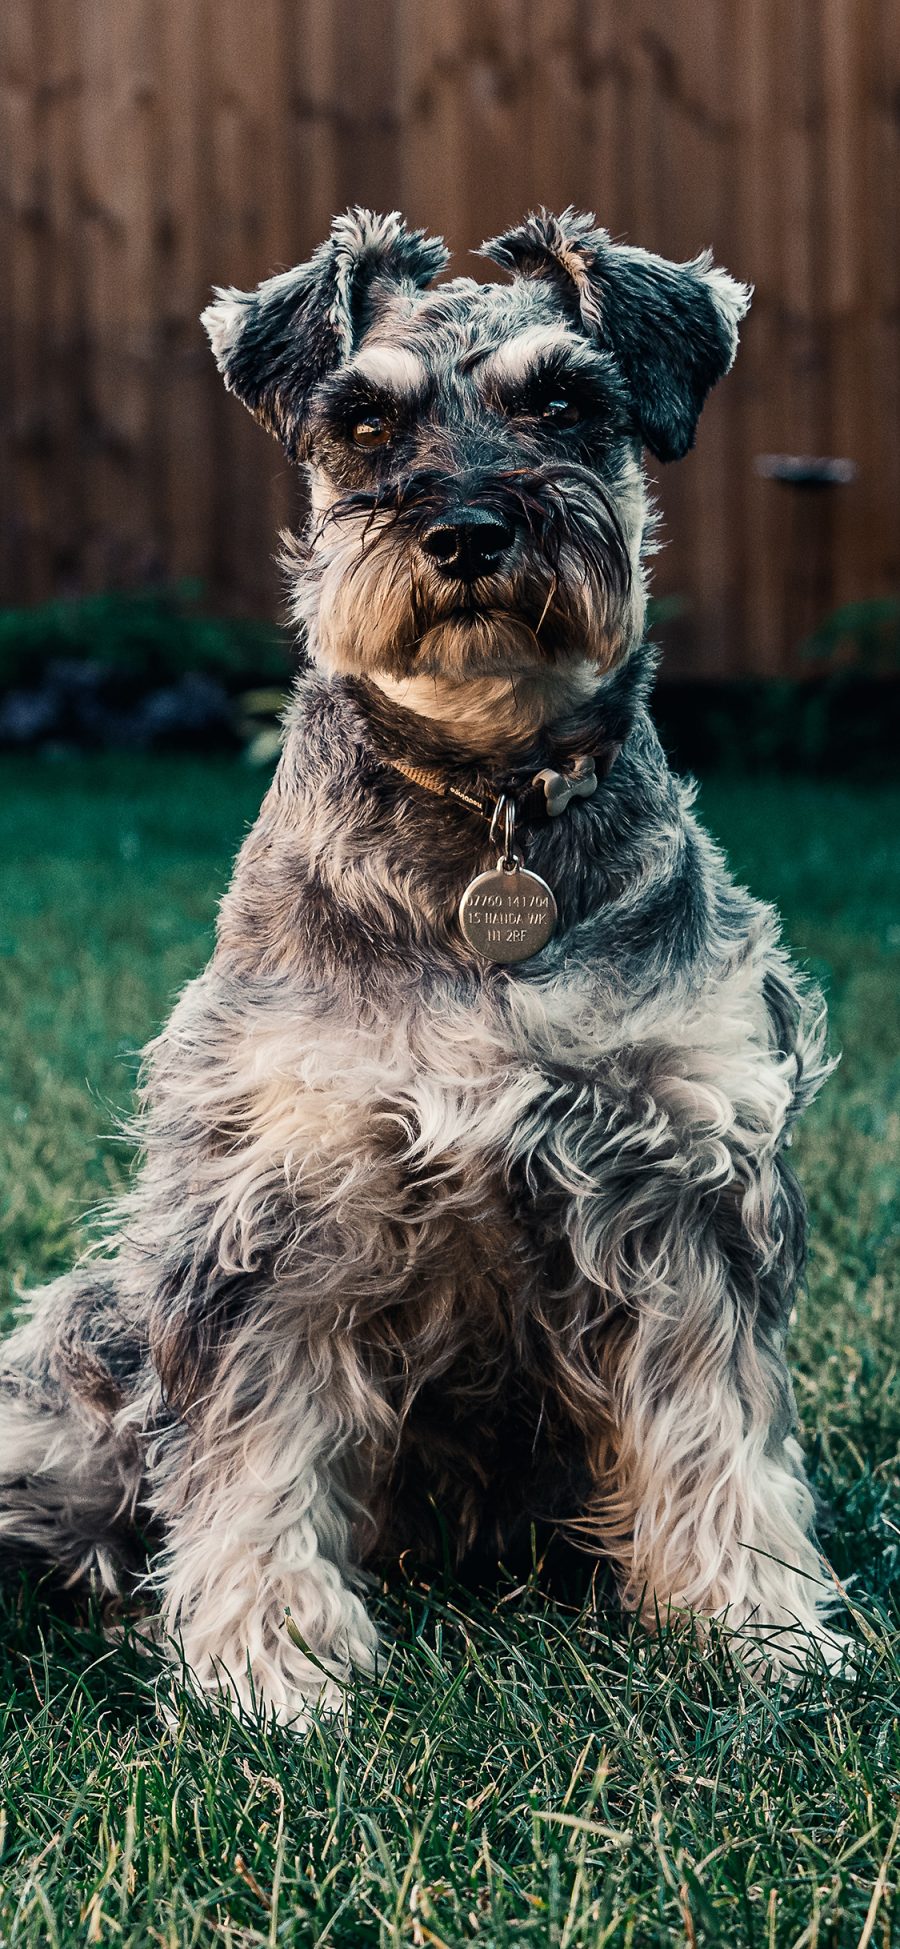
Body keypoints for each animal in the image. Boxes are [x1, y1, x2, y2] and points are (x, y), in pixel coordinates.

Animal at [0, 205, 845, 1715]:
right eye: (361, 422)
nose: (465, 530)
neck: (488, 795)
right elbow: (255, 1451)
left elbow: (720, 1424)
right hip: (84, 1357)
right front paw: (269, 1664)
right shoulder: (279, 1197)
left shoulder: (685, 1177)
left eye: (564, 403)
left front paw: (757, 1624)